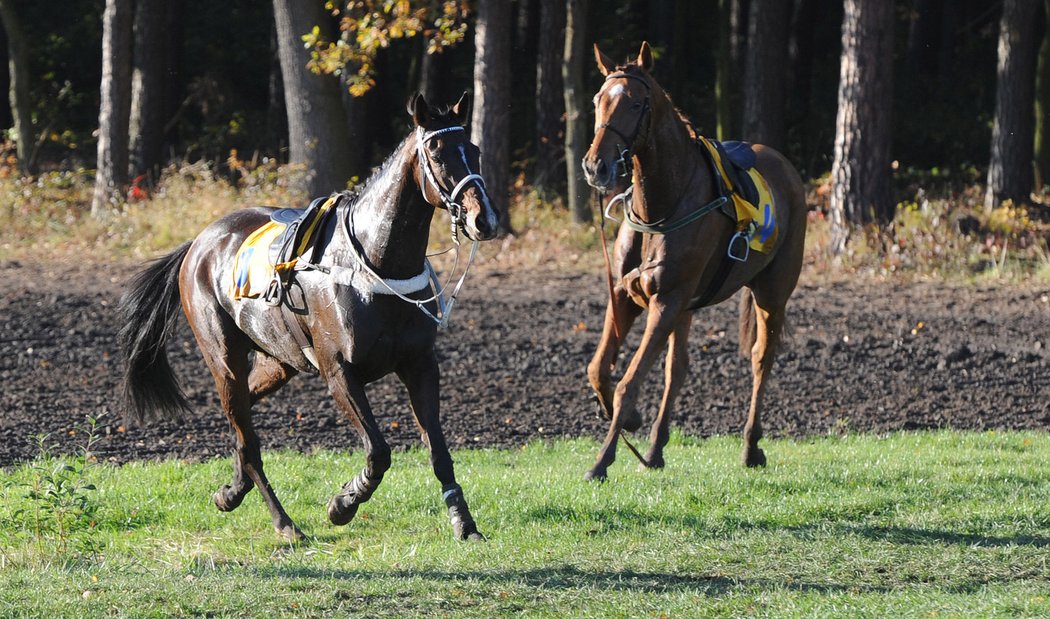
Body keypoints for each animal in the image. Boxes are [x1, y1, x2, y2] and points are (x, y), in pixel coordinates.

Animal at [120, 93, 497, 545]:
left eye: (474, 149)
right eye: (438, 153)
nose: (483, 218)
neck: (375, 262)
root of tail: (199, 242)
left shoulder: (420, 365)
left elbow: (439, 451)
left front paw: (465, 523)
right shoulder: (339, 372)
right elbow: (378, 451)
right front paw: (343, 504)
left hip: (277, 362)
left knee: (243, 424)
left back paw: (231, 492)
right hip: (222, 358)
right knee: (248, 440)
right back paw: (285, 524)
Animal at [579, 43, 806, 482]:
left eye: (636, 103)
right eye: (599, 100)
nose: (596, 166)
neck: (661, 207)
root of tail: (784, 166)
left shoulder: (667, 300)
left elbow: (629, 382)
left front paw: (602, 460)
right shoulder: (628, 296)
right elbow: (599, 369)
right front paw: (628, 420)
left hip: (772, 292)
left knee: (762, 359)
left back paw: (751, 446)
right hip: (685, 306)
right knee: (678, 368)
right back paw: (654, 448)